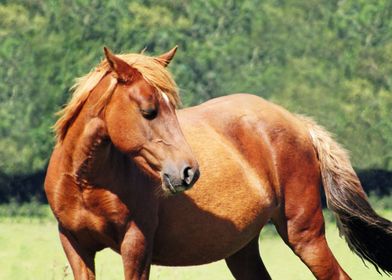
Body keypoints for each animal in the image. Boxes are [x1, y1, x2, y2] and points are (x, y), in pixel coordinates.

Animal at [46, 47, 392, 278]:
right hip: (242, 248)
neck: (87, 182)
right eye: (149, 111)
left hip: (305, 235)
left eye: (172, 107)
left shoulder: (136, 244)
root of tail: (298, 123)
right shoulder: (75, 245)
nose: (188, 172)